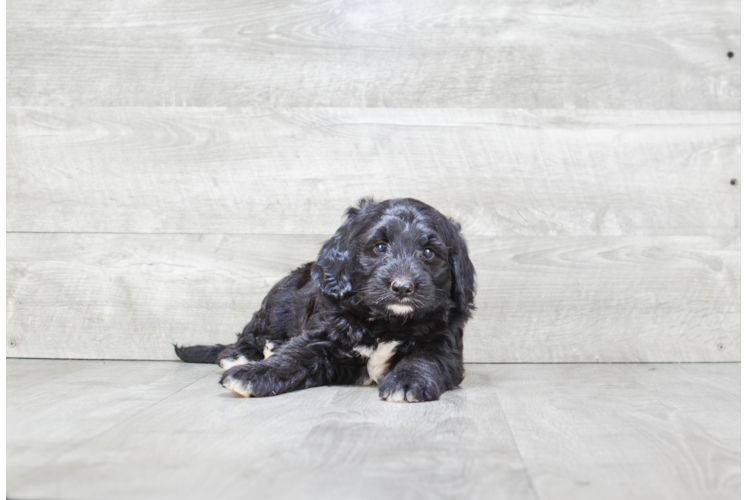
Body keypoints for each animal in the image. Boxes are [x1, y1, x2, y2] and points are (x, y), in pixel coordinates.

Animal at [175, 196, 474, 402]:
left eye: (428, 252)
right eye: (380, 247)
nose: (402, 287)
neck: (388, 322)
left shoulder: (444, 343)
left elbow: (426, 358)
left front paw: (407, 380)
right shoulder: (324, 334)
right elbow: (294, 356)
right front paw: (253, 375)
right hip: (275, 304)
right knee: (250, 336)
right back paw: (241, 356)